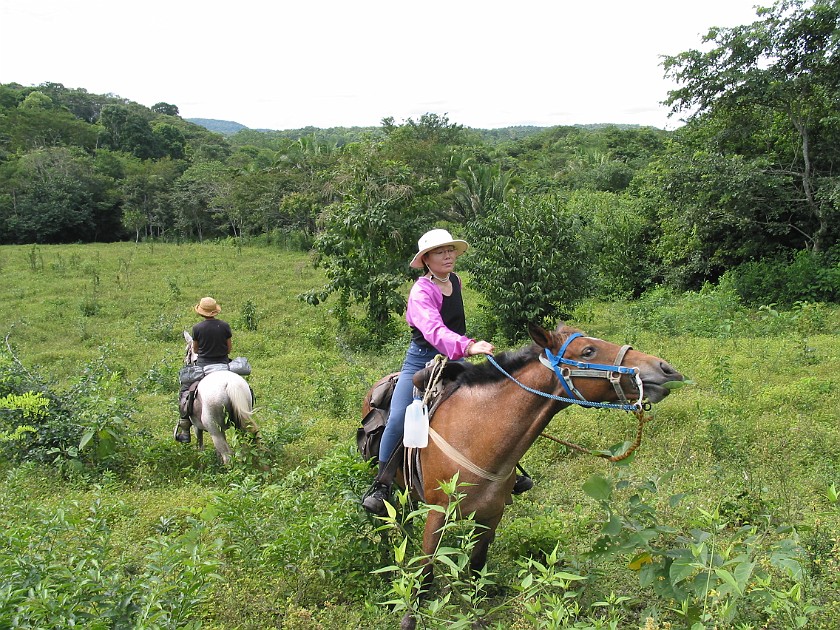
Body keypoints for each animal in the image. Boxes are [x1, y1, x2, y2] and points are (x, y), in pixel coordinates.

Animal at [183, 330, 260, 464]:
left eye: (187, 350)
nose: (185, 361)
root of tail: (230, 384)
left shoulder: (197, 426)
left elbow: (200, 447)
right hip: (241, 423)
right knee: (244, 449)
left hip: (215, 430)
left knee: (227, 455)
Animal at [360, 324, 684, 628]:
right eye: (588, 351)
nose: (665, 369)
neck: (477, 434)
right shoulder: (438, 513)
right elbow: (426, 570)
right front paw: (409, 617)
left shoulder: (491, 514)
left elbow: (476, 569)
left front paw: (476, 617)